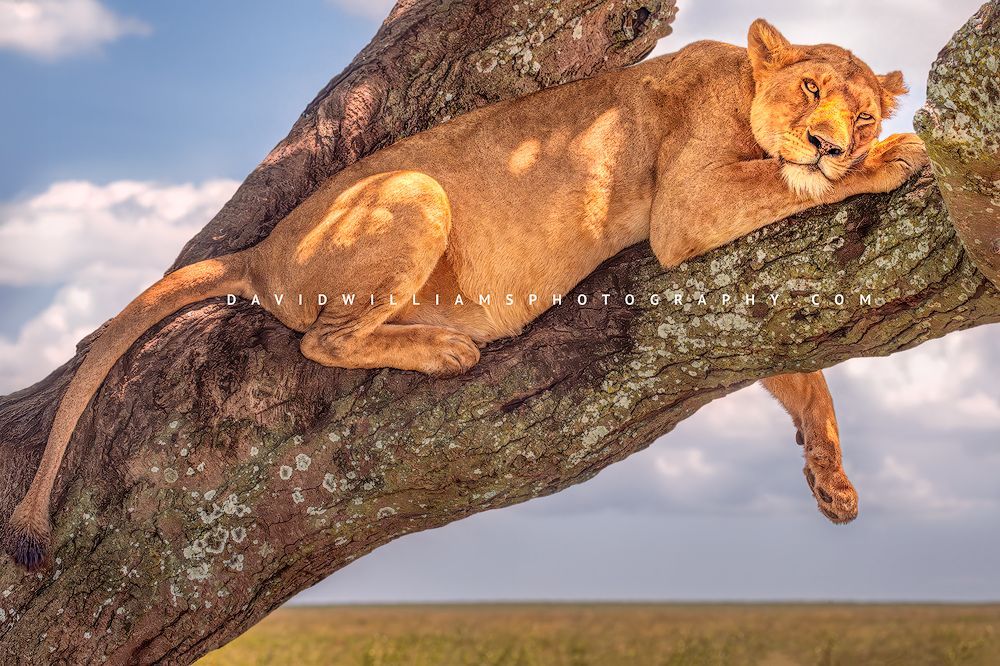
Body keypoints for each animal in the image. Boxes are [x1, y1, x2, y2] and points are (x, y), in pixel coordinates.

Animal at [5, 19, 928, 570]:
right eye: (812, 92)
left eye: (862, 112)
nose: (836, 142)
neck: (739, 79)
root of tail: (261, 252)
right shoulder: (689, 207)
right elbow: (792, 184)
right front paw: (893, 160)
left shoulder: (735, 289)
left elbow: (801, 371)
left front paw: (832, 481)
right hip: (417, 189)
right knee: (321, 339)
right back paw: (447, 349)